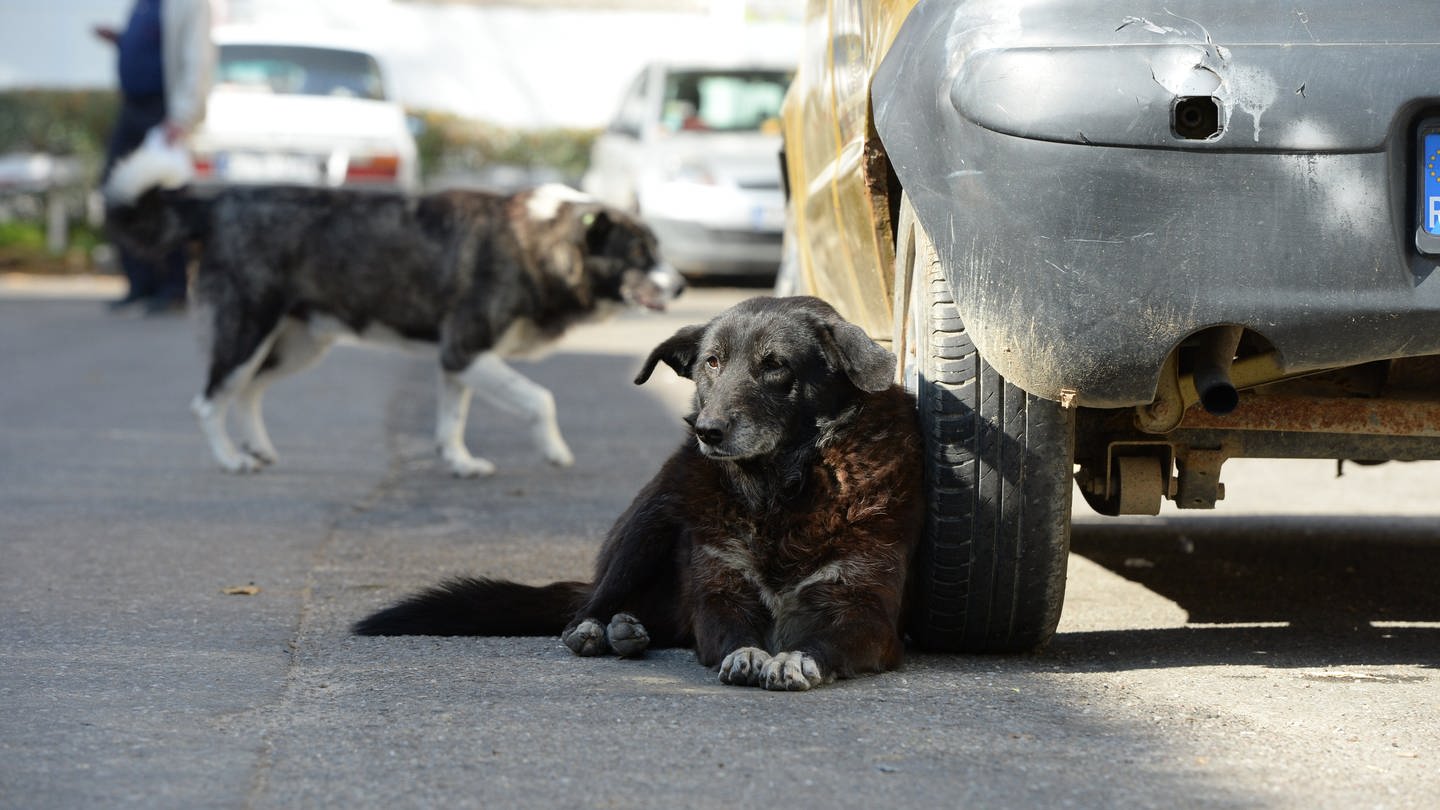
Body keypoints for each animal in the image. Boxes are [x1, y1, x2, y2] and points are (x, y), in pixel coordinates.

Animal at [105, 142, 679, 475]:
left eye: (659, 249)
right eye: (639, 254)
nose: (679, 286)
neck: (537, 241)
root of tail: (217, 204)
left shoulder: (455, 361)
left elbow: (452, 419)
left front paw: (459, 461)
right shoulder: (465, 351)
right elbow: (540, 399)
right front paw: (554, 450)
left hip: (297, 345)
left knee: (247, 391)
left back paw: (256, 449)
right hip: (245, 331)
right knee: (209, 401)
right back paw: (229, 459)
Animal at [358, 295, 921, 686]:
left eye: (775, 365)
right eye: (711, 363)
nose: (708, 431)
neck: (777, 492)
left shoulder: (865, 610)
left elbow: (825, 639)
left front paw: (795, 659)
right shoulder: (719, 594)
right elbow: (732, 632)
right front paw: (747, 655)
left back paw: (628, 633)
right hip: (651, 519)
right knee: (585, 608)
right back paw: (598, 631)